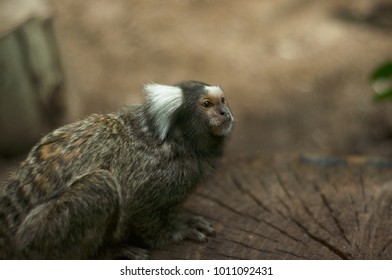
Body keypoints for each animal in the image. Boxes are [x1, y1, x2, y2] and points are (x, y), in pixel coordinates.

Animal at [0, 80, 233, 260]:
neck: (177, 141)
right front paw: (175, 232)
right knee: (102, 185)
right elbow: (141, 211)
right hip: (39, 238)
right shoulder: (158, 174)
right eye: (206, 104)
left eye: (222, 100)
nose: (225, 113)